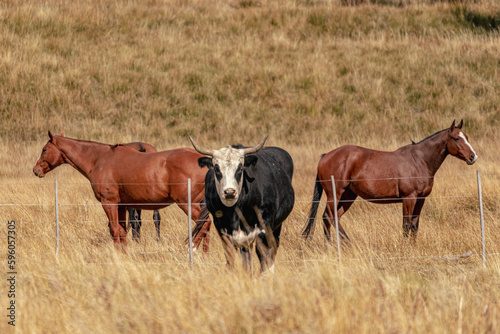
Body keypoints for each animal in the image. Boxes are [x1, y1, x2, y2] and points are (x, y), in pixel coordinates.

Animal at [31, 132, 211, 252]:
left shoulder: (109, 203)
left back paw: (192, 249)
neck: (99, 160)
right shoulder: (122, 205)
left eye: (44, 149)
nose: (35, 170)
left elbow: (114, 230)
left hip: (188, 203)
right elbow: (123, 231)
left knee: (204, 223)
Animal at [189, 136, 294, 274]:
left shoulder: (265, 225)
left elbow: (263, 254)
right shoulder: (222, 228)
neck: (235, 211)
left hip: (276, 225)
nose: (229, 192)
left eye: (240, 168)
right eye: (216, 169)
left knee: (272, 249)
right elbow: (230, 256)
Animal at [302, 120, 478, 243]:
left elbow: (415, 225)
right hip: (335, 194)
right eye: (456, 138)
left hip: (348, 195)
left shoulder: (421, 199)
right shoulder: (409, 198)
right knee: (328, 216)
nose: (473, 157)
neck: (419, 161)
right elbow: (406, 225)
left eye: (467, 137)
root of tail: (326, 156)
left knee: (334, 218)